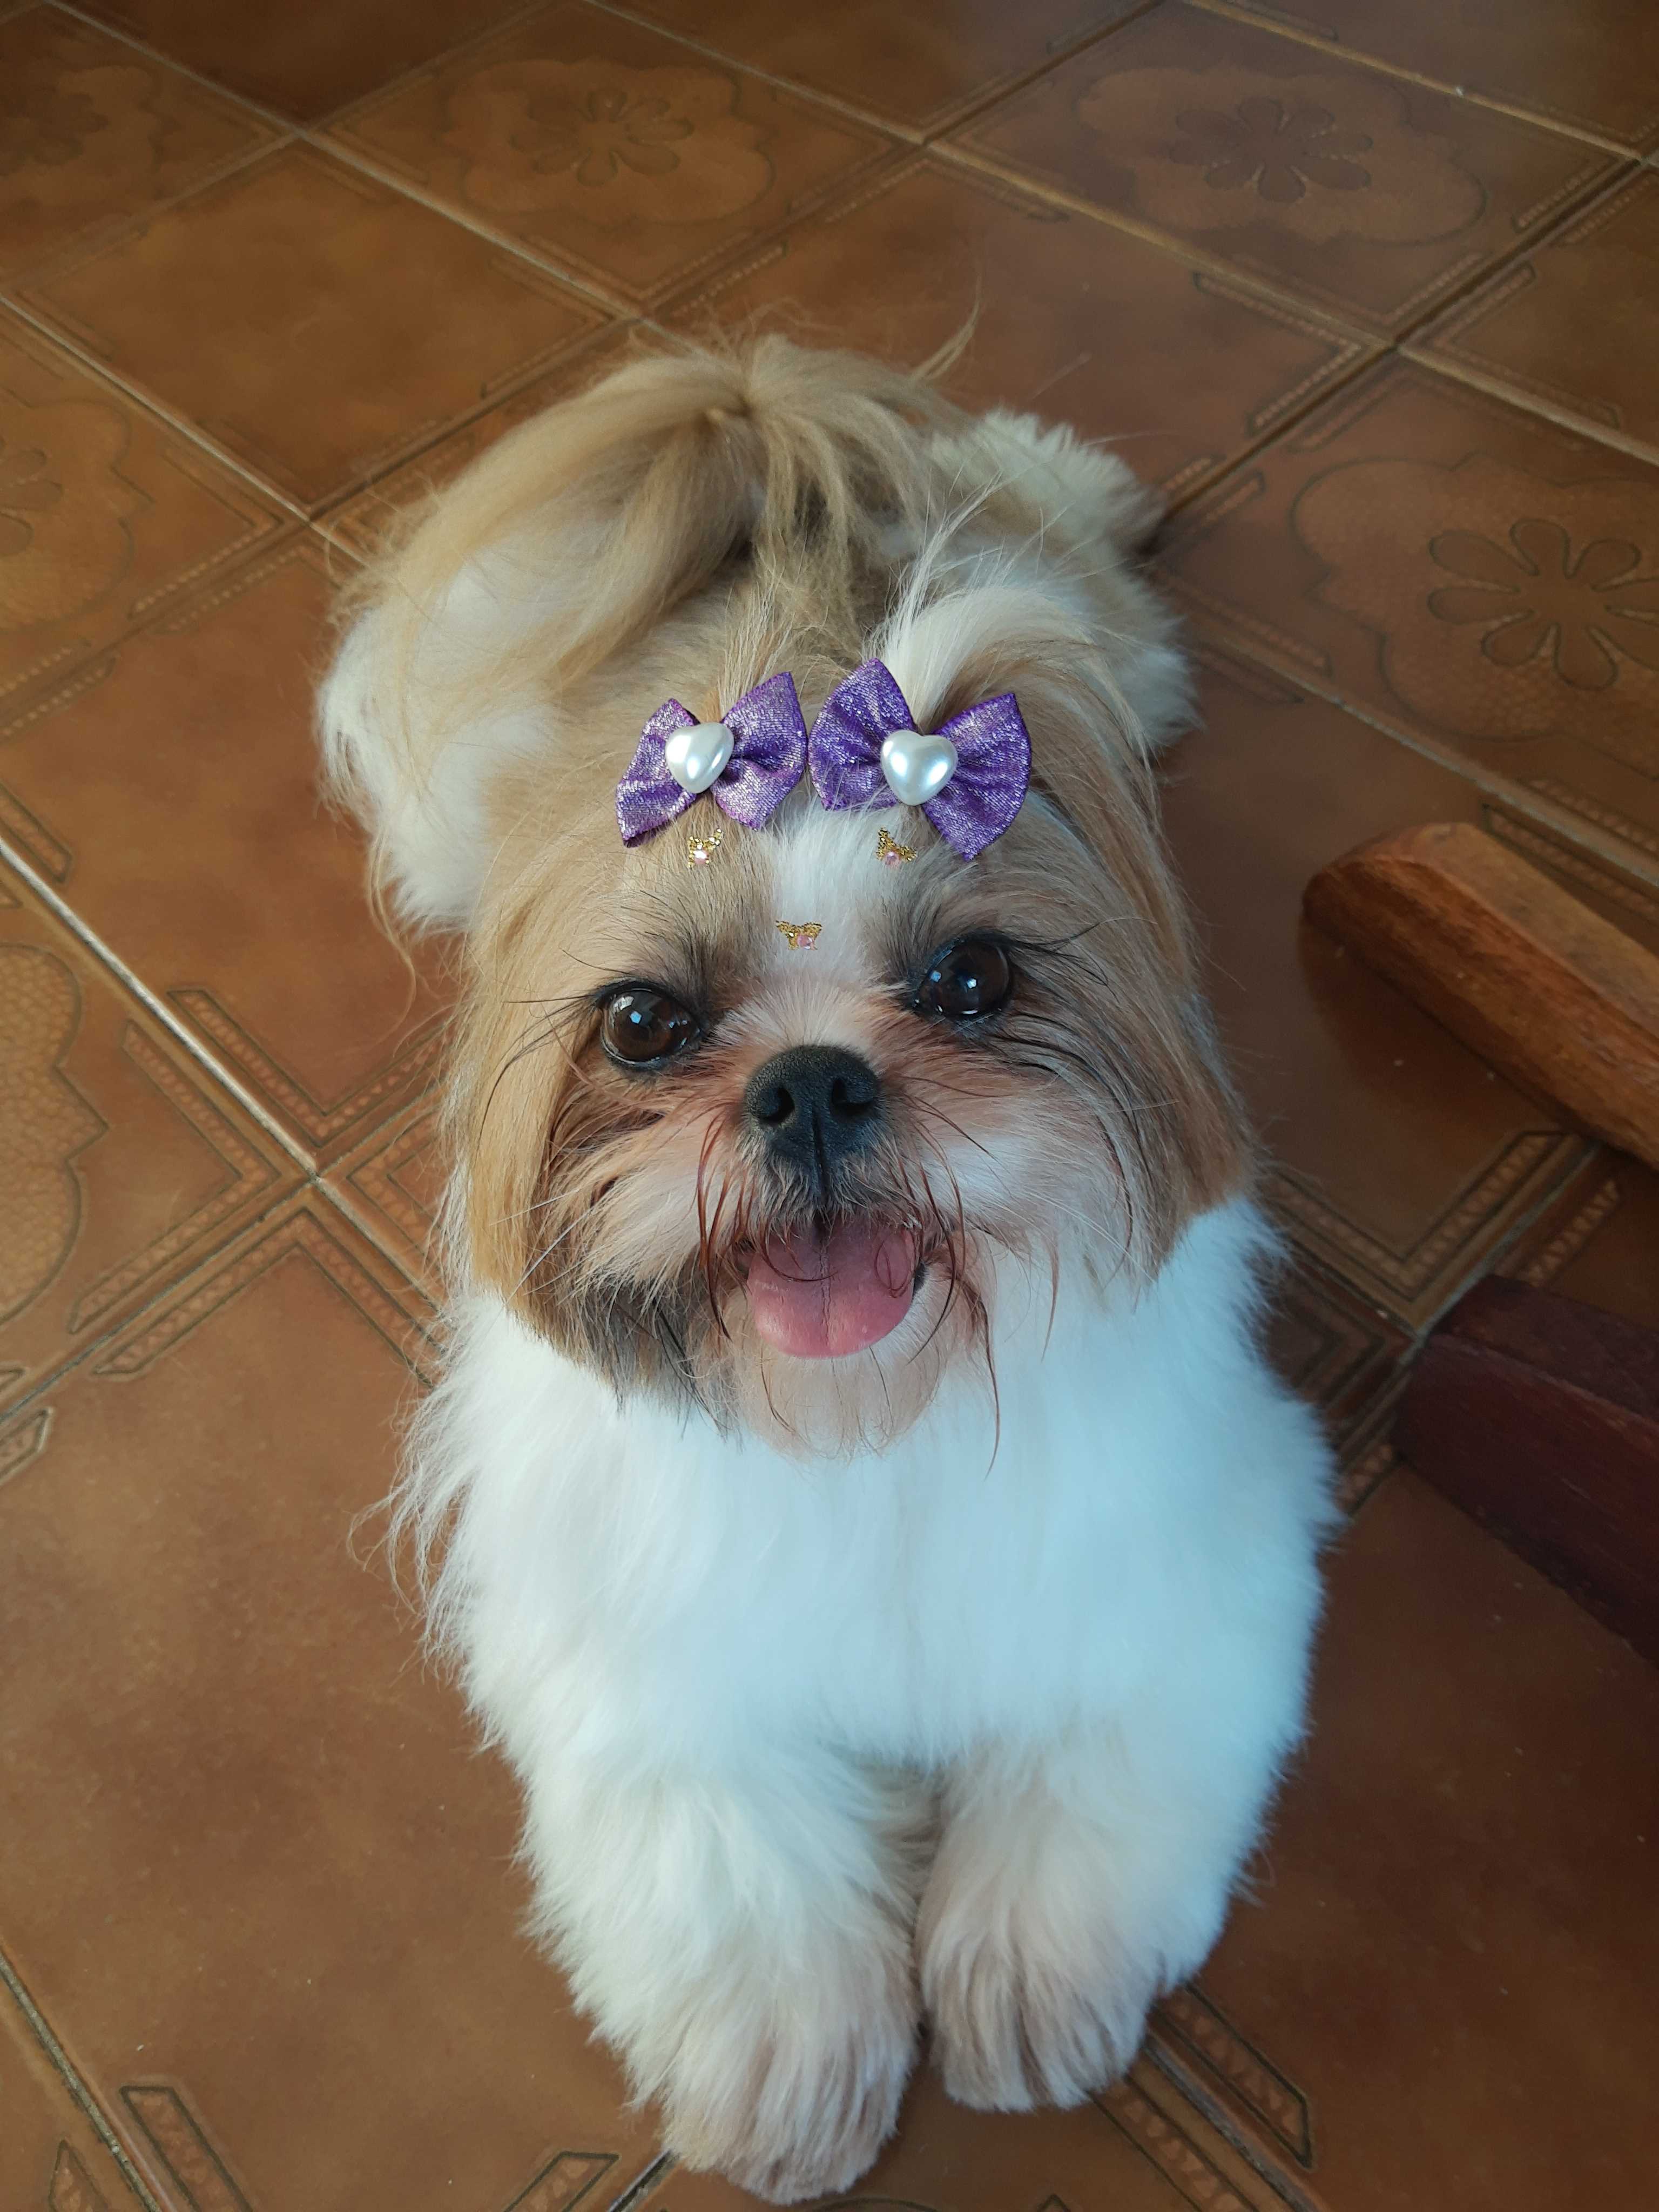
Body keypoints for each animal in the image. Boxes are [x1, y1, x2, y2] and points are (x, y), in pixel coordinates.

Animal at [320, 335, 1335, 2203]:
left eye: (970, 983)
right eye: (646, 1025)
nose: (809, 1083)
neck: (865, 1418)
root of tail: (764, 430)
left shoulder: (1176, 1575)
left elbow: (1088, 1788)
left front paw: (1027, 1983)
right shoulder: (654, 1663)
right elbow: (733, 1867)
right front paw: (791, 2064)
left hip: (1081, 614)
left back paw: (1092, 481)